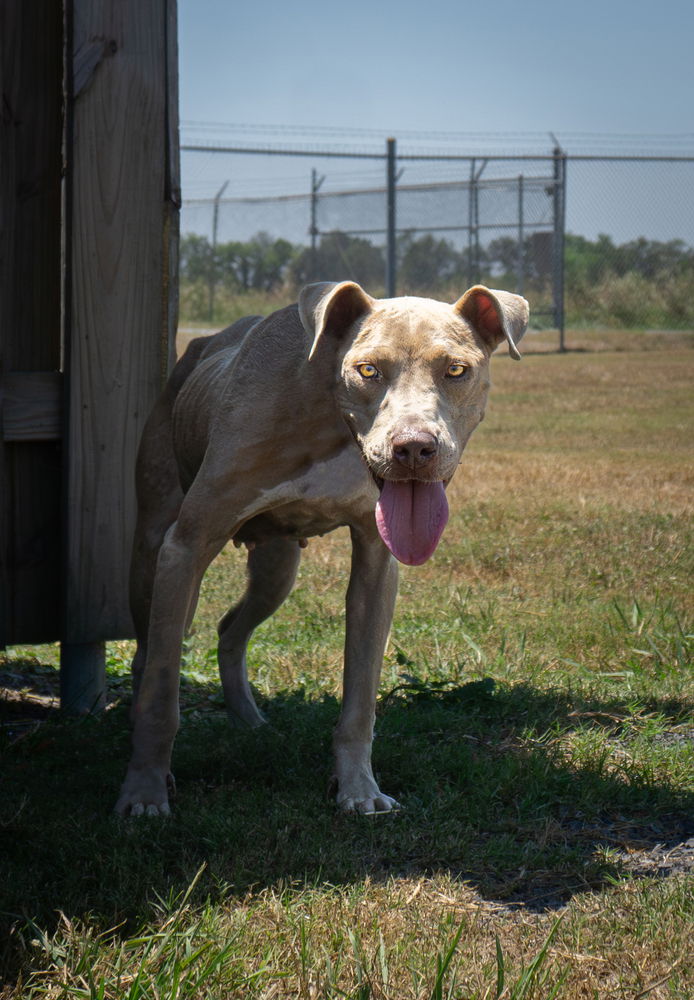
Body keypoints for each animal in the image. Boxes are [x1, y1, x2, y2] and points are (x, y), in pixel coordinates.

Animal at [114, 286, 532, 816]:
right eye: (368, 369)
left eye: (456, 369)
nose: (414, 449)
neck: (329, 415)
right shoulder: (187, 546)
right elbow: (162, 690)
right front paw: (144, 792)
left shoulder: (376, 564)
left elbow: (360, 698)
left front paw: (358, 789)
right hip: (152, 553)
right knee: (148, 654)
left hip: (276, 567)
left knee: (231, 629)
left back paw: (250, 722)